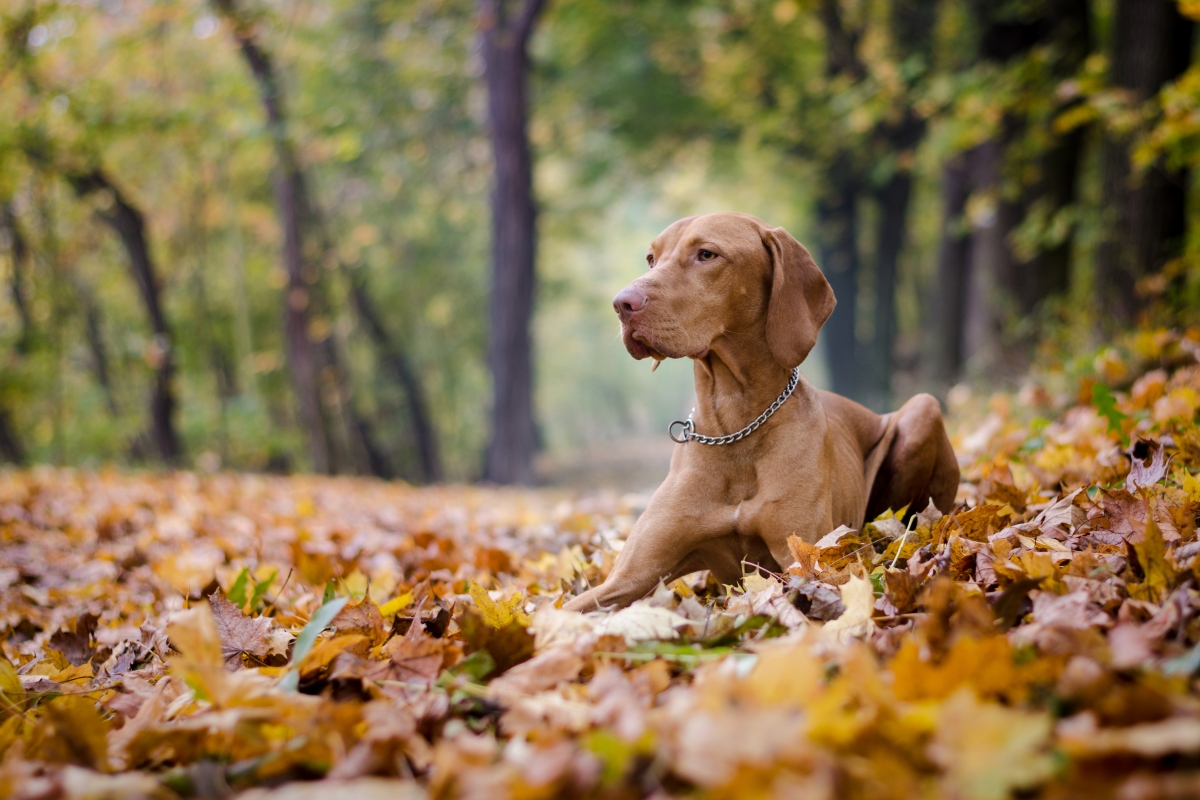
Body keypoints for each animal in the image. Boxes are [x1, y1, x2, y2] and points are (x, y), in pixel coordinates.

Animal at [561, 212, 955, 614]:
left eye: (707, 254)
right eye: (651, 259)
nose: (621, 304)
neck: (733, 423)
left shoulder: (804, 558)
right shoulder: (627, 579)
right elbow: (564, 612)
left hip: (922, 408)